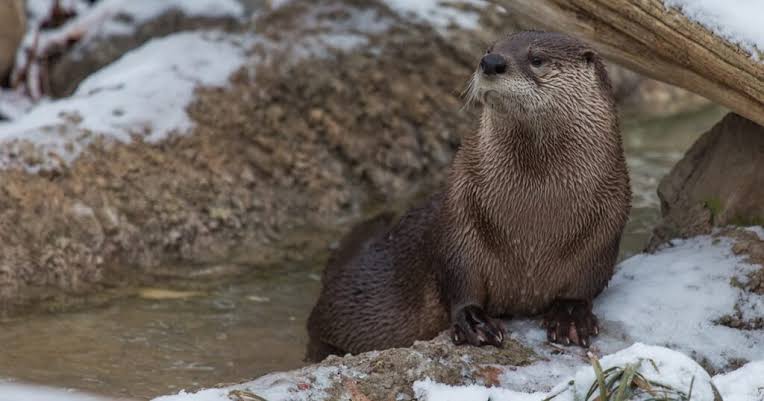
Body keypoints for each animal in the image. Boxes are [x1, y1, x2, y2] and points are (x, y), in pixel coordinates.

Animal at [306, 31, 631, 362]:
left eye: (537, 58)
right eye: (488, 49)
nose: (491, 62)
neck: (533, 224)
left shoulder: (606, 227)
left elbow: (586, 282)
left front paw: (570, 316)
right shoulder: (461, 216)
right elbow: (459, 279)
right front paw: (474, 322)